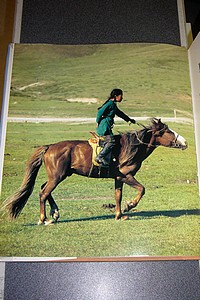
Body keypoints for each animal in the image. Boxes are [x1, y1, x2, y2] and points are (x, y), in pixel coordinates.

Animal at [2, 118, 188, 224]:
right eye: (168, 131)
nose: (185, 142)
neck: (132, 147)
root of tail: (50, 146)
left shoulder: (118, 178)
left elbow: (118, 196)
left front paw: (119, 215)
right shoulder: (126, 176)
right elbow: (142, 189)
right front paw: (129, 206)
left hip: (59, 175)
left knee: (43, 189)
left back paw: (55, 213)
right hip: (57, 176)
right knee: (43, 193)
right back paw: (44, 218)